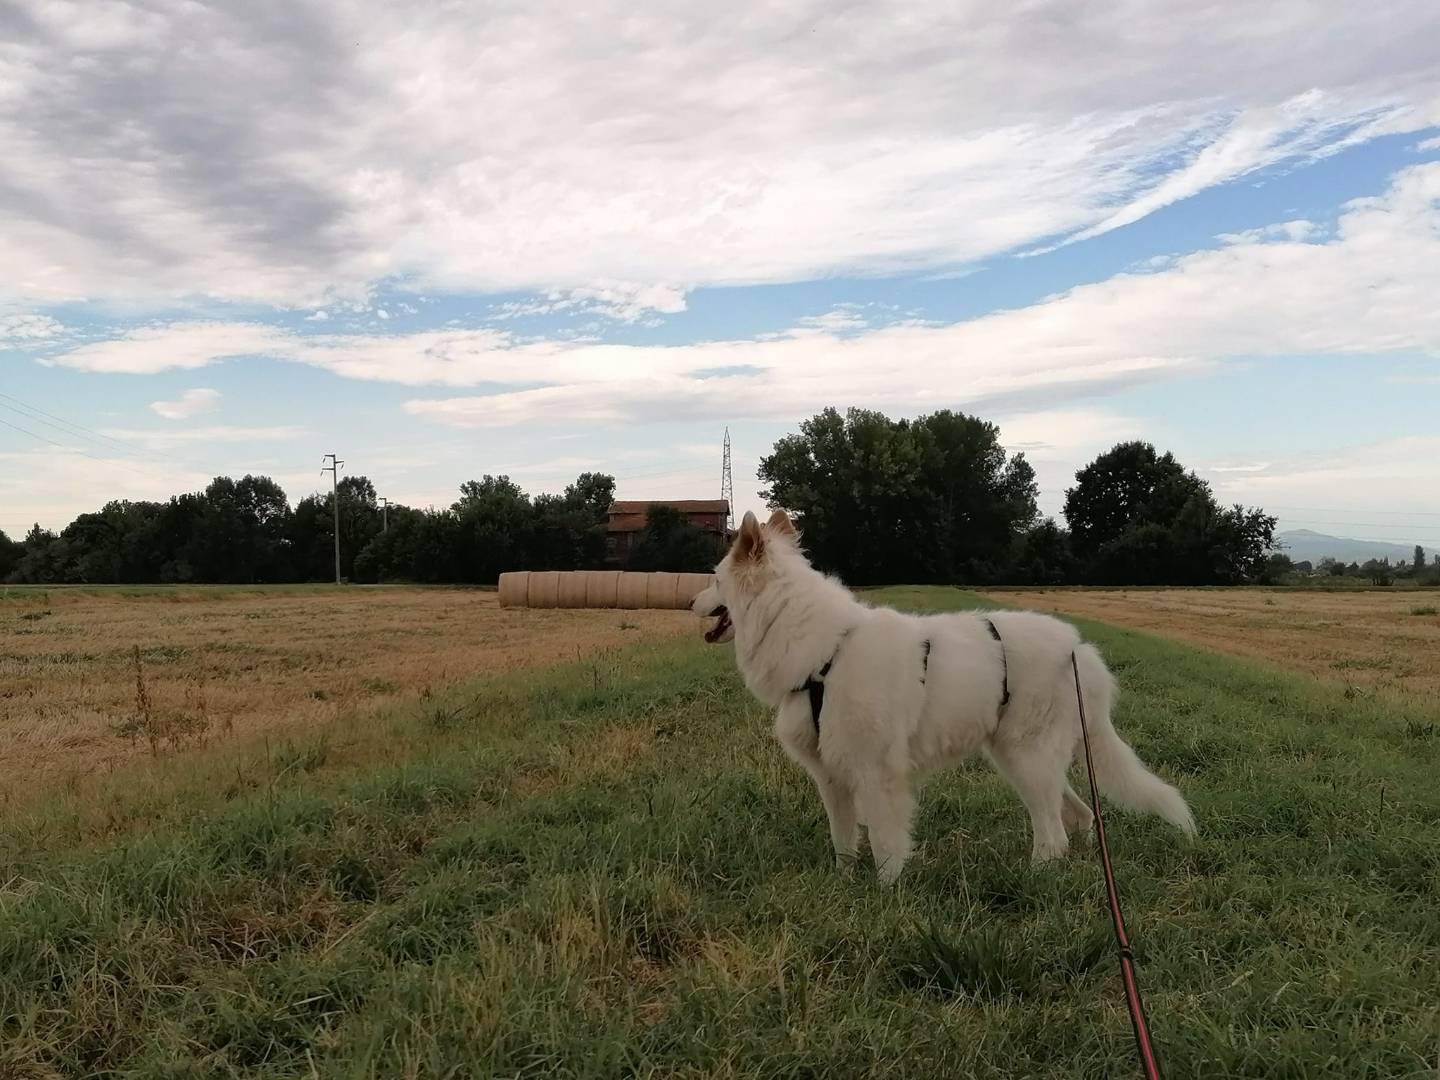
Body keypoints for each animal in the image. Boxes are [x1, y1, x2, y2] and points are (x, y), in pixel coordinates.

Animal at [691, 512, 1198, 881]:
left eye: (714, 580)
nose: (689, 602)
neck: (824, 652)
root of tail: (1079, 649)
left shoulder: (877, 775)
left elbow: (886, 845)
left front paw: (886, 896)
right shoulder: (832, 776)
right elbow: (843, 842)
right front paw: (843, 883)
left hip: (1027, 760)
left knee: (1054, 835)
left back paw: (1035, 877)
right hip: (1025, 761)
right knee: (1078, 815)